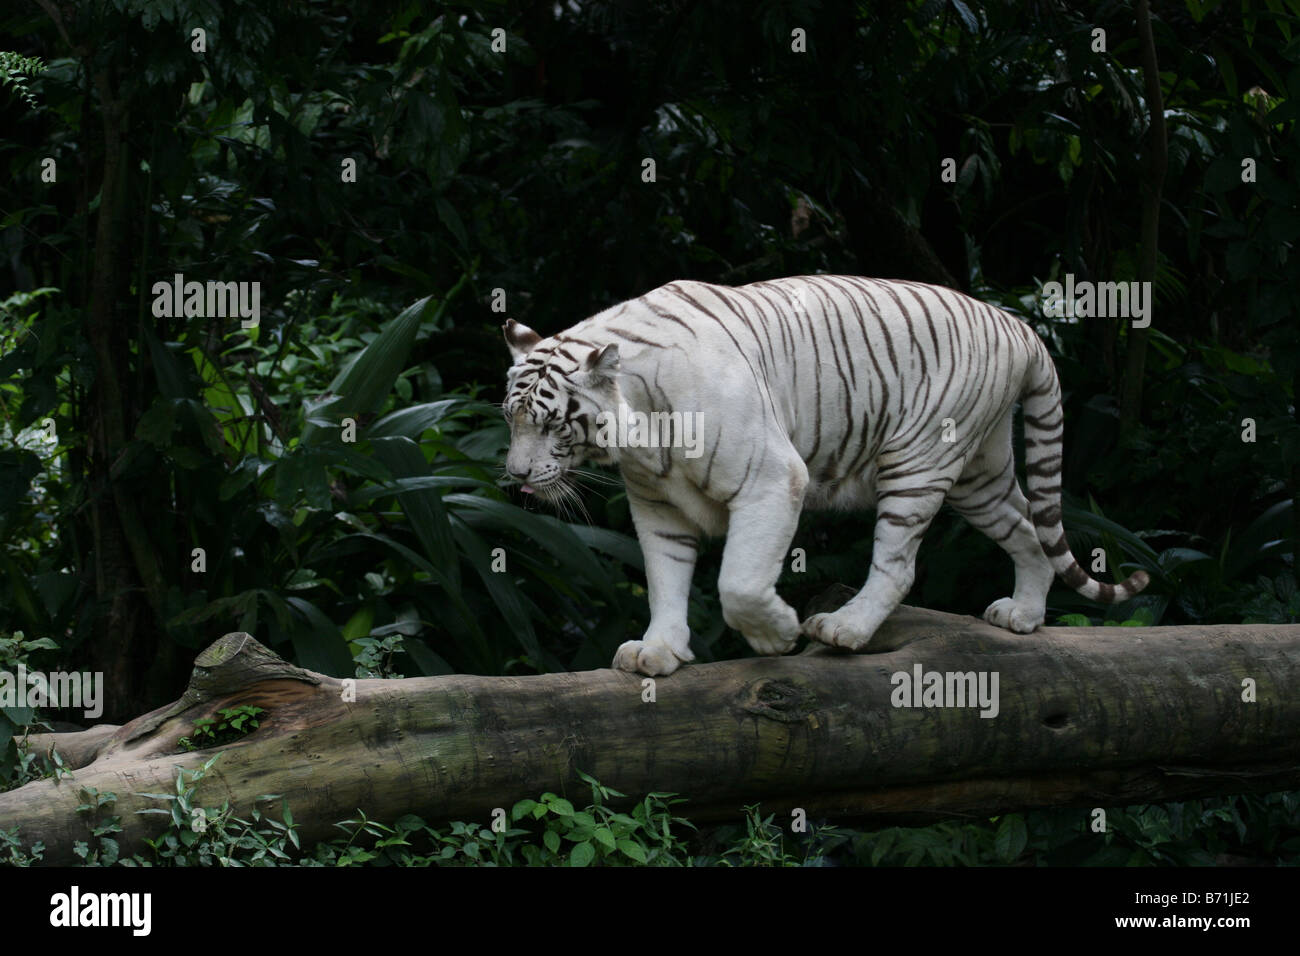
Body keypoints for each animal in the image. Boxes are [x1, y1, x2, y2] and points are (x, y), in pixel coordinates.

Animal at [499, 277, 1149, 676]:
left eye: (552, 423)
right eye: (510, 419)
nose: (514, 478)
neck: (640, 433)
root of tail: (1023, 329)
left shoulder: (771, 478)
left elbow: (739, 581)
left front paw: (777, 636)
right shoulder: (659, 508)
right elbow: (665, 580)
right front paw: (659, 650)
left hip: (916, 462)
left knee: (899, 565)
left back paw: (842, 628)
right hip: (979, 475)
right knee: (1028, 532)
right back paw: (1023, 616)